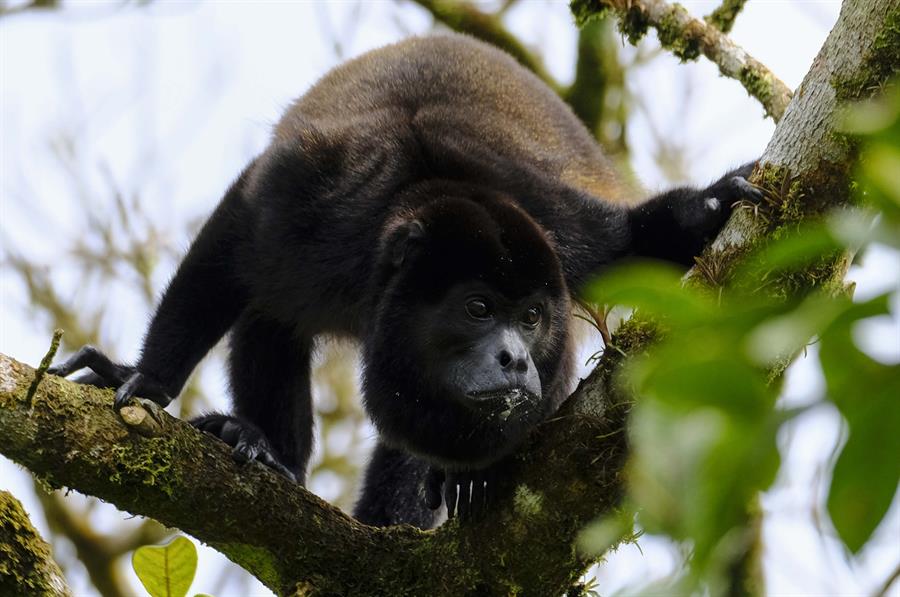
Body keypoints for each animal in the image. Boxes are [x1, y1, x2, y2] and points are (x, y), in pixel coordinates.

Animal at [49, 33, 764, 528]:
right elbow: (229, 240)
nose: (514, 358)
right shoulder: (314, 201)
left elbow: (633, 247)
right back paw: (269, 451)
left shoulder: (559, 229)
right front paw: (144, 380)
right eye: (478, 309)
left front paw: (711, 209)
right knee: (270, 319)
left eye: (531, 316)